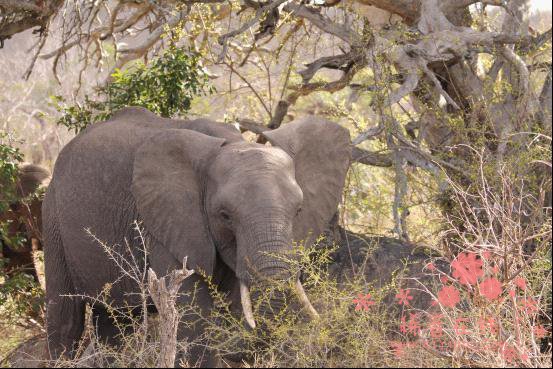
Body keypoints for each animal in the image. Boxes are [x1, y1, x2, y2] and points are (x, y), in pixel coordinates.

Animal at [43, 107, 350, 366]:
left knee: (113, 322)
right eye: (225, 215)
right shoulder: (167, 223)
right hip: (53, 216)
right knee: (65, 321)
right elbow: (194, 318)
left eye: (298, 210)